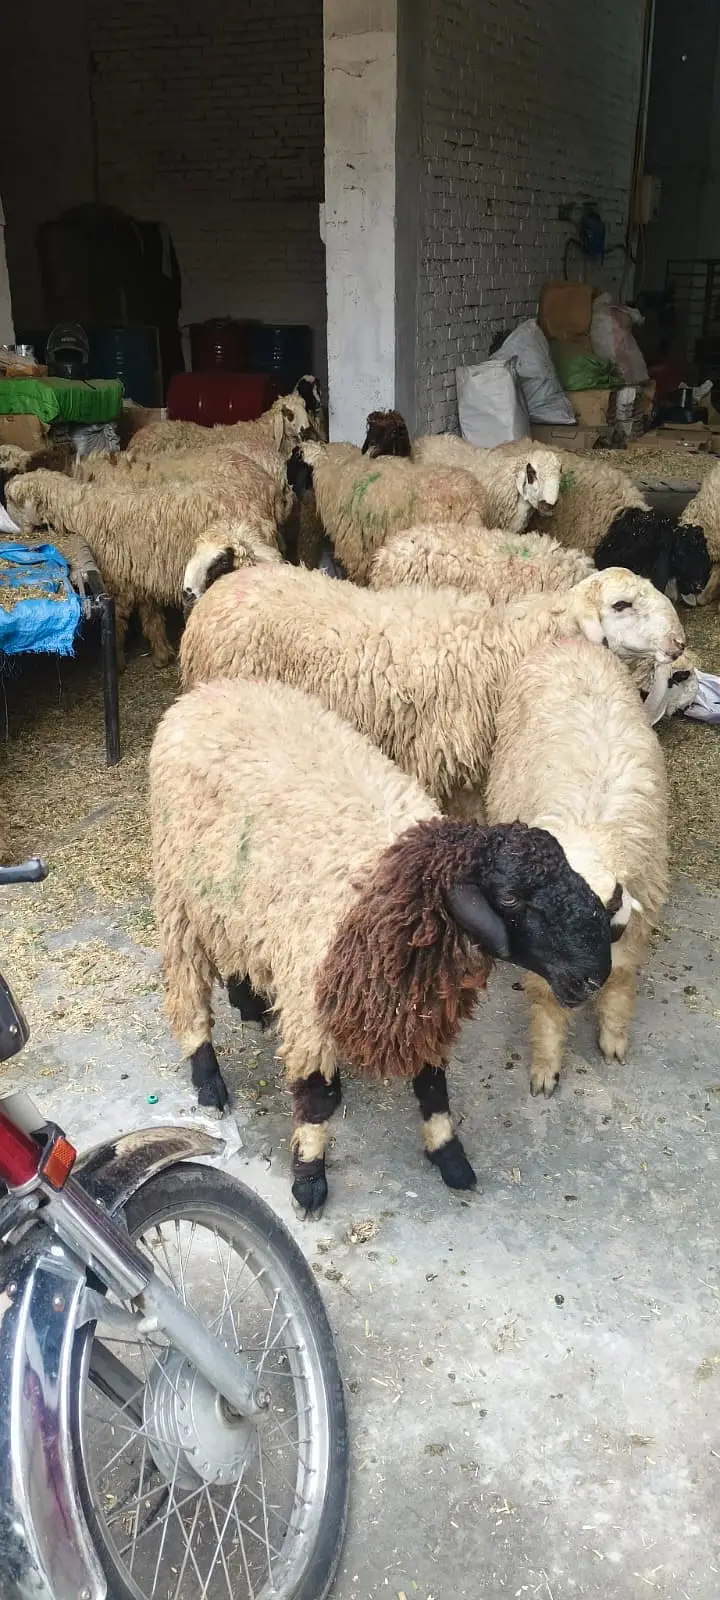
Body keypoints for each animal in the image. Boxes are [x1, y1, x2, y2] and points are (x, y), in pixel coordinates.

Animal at [7, 458, 290, 668]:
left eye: (13, 501)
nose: (15, 532)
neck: (82, 512)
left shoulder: (117, 581)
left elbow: (118, 622)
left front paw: (117, 660)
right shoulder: (141, 575)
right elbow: (151, 616)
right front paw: (162, 654)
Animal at [150, 675, 614, 1207]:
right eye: (511, 899)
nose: (596, 973)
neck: (400, 888)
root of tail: (206, 692)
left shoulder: (422, 1008)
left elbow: (433, 1087)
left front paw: (450, 1159)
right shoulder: (311, 1002)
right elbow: (316, 1097)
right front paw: (308, 1178)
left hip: (232, 900)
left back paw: (248, 1002)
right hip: (179, 898)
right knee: (187, 989)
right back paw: (208, 1081)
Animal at [485, 637, 668, 1097]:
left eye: (605, 911)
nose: (582, 983)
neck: (589, 825)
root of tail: (568, 641)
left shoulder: (631, 926)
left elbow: (620, 979)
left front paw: (613, 1038)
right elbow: (546, 1003)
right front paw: (546, 1067)